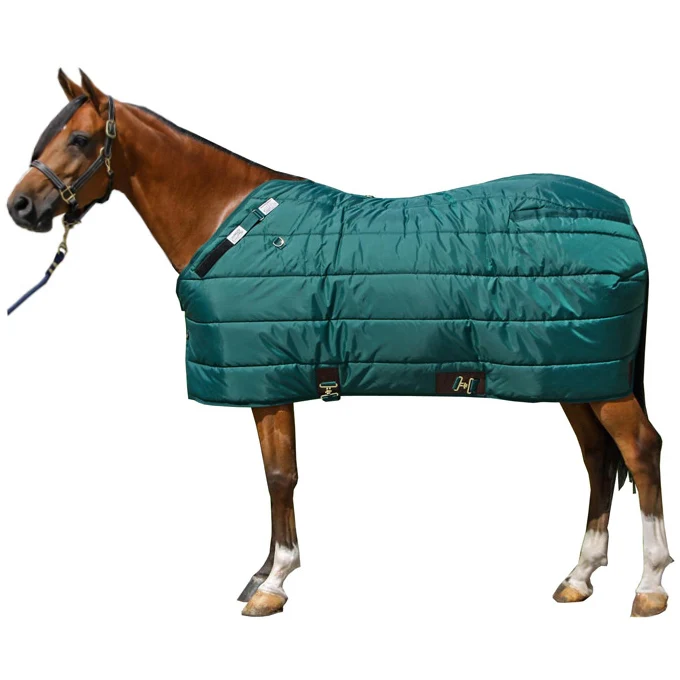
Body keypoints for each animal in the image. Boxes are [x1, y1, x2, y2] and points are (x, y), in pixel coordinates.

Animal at [7, 70, 673, 618]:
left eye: (80, 140)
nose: (21, 206)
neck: (233, 226)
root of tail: (623, 215)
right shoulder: (271, 377)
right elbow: (273, 476)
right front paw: (262, 573)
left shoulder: (270, 381)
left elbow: (281, 476)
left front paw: (275, 582)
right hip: (574, 373)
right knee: (597, 457)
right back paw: (580, 576)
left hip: (593, 379)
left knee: (640, 449)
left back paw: (649, 586)